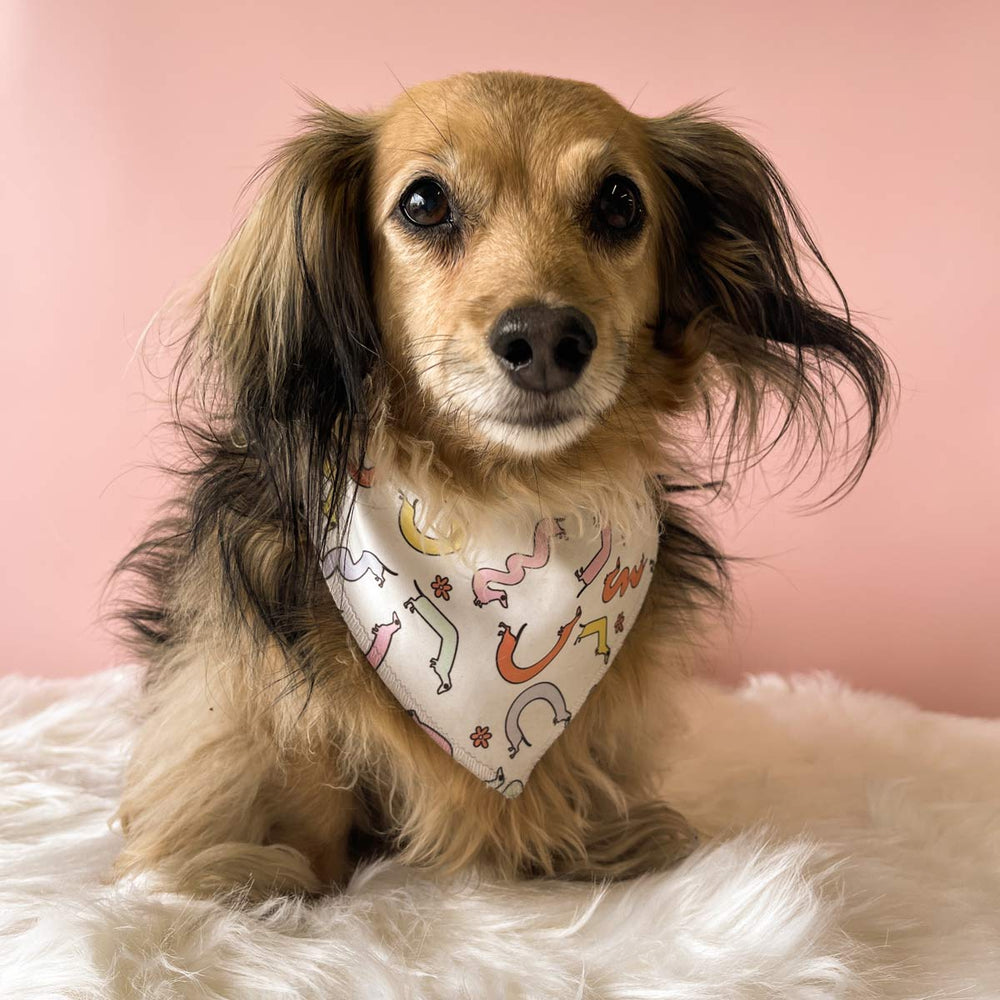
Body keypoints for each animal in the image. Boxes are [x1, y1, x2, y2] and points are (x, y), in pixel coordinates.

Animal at [111, 70, 892, 900]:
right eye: (424, 202)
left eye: (619, 202)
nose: (546, 339)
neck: (504, 501)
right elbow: (305, 771)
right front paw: (283, 874)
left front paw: (600, 844)